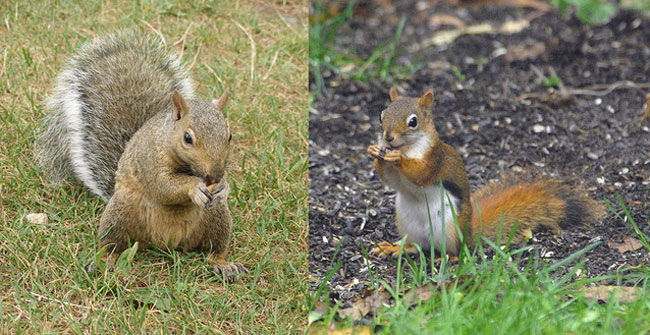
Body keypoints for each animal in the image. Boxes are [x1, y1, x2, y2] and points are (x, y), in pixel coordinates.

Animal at [36, 31, 247, 282]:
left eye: (229, 135)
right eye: (187, 138)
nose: (214, 175)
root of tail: (168, 243)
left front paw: (224, 188)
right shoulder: (150, 159)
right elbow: (163, 186)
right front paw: (194, 187)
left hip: (217, 217)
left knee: (215, 249)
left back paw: (224, 265)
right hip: (121, 214)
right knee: (112, 245)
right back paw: (103, 262)